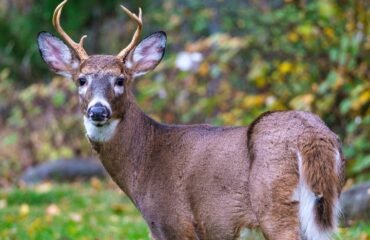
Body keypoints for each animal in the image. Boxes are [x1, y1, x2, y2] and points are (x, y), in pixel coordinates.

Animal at [36, 0, 346, 239]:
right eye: (81, 80)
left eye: (120, 80)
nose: (98, 111)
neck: (143, 162)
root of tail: (312, 137)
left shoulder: (173, 222)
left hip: (274, 204)